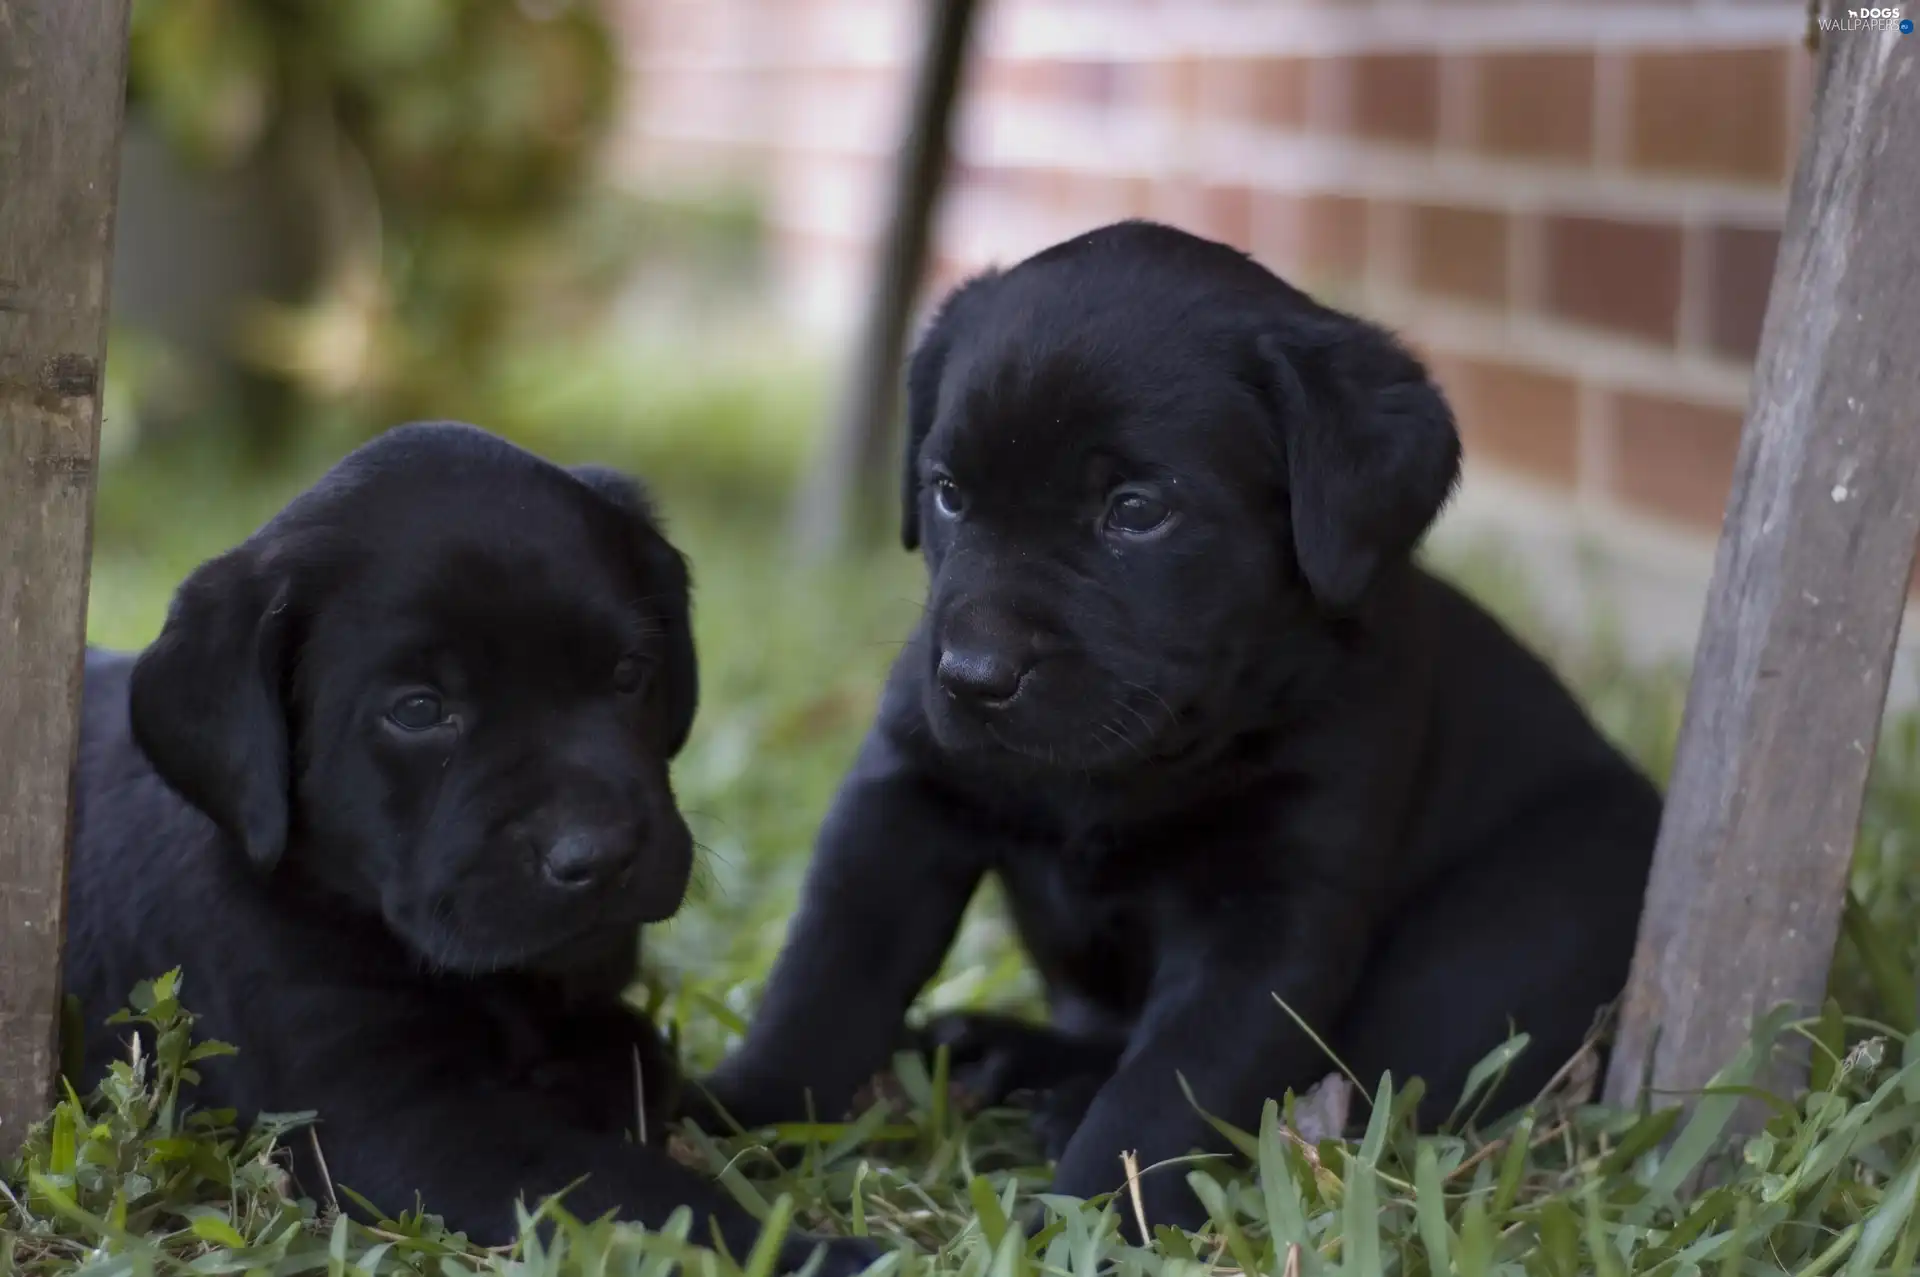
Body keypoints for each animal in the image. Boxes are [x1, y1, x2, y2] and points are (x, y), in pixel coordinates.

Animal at [67, 420, 879, 1275]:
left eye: (630, 672)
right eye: (420, 710)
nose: (600, 853)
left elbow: (646, 1064)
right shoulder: (396, 1121)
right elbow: (643, 1191)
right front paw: (821, 1252)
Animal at [702, 223, 1666, 1228]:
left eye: (1135, 511)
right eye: (949, 493)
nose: (973, 676)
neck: (1125, 769)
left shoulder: (1270, 912)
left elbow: (1168, 1084)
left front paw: (1085, 1217)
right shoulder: (903, 798)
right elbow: (824, 978)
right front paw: (734, 1113)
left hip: (1503, 938)